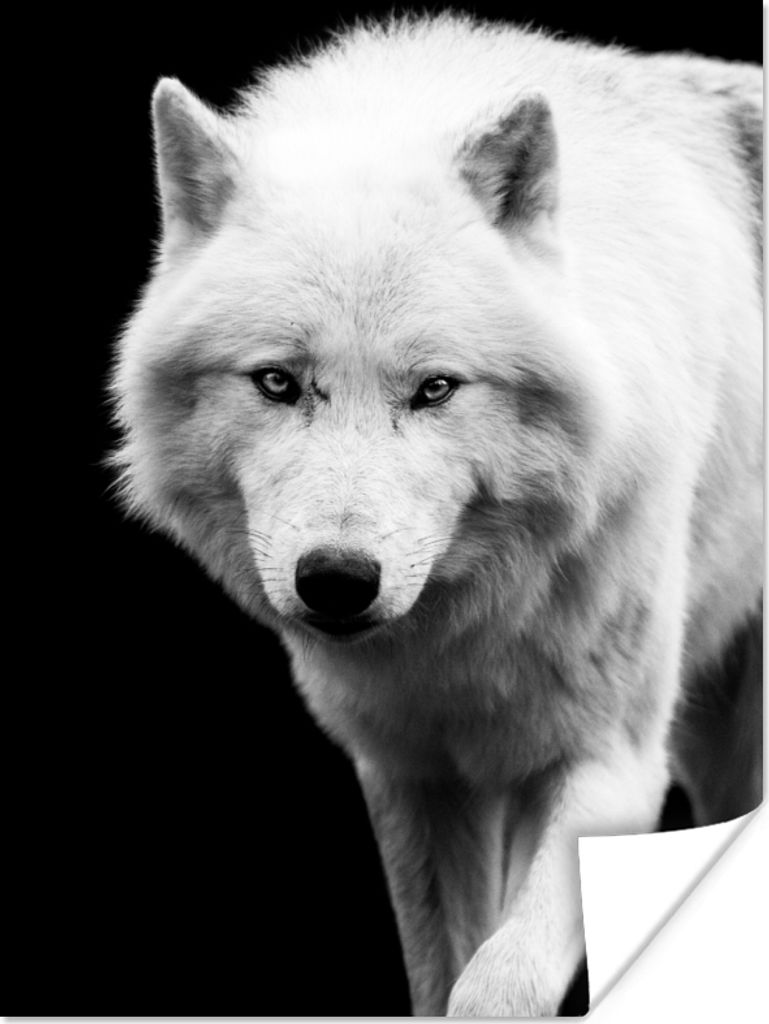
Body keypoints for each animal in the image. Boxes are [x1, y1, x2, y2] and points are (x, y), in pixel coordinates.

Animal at [111, 13, 763, 1017]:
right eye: (277, 382)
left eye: (434, 389)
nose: (337, 582)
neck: (465, 634)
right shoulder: (414, 777)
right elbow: (441, 970)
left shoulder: (610, 764)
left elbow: (494, 984)